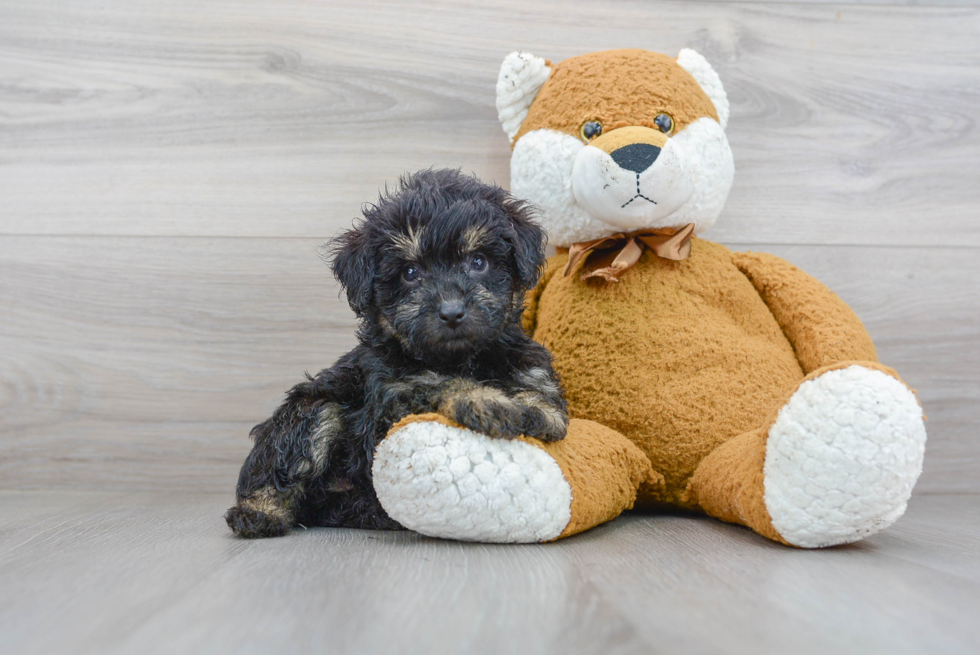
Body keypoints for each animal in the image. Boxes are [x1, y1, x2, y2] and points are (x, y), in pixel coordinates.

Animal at [226, 168, 572, 540]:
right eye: (410, 273)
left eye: (478, 262)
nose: (452, 312)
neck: (463, 358)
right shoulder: (393, 395)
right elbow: (439, 384)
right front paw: (488, 401)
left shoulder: (527, 364)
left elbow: (544, 398)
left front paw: (535, 410)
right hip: (311, 410)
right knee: (284, 459)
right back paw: (258, 513)